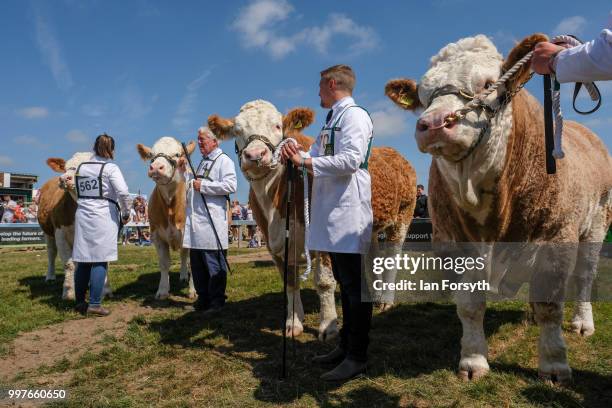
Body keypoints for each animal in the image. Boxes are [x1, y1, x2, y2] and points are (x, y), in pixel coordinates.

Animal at [41, 153, 112, 300]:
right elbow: (69, 264)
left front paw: (105, 290)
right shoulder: (60, 235)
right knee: (51, 253)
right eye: (65, 167)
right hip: (48, 232)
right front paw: (69, 292)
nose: (64, 178)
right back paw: (50, 276)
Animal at [138, 137, 196, 300]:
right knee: (183, 256)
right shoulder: (156, 236)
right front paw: (163, 290)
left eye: (177, 154)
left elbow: (193, 264)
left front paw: (193, 290)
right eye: (152, 155)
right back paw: (183, 276)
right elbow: (164, 263)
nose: (156, 167)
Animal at [209, 100, 416, 340]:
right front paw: (293, 323)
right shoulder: (274, 244)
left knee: (392, 257)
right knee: (372, 259)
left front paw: (329, 326)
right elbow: (290, 284)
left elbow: (324, 282)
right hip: (371, 227)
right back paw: (372, 297)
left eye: (278, 126)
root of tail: (395, 153)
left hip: (403, 217)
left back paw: (385, 301)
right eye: (237, 130)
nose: (255, 155)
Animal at [388, 35, 612, 382]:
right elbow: (469, 305)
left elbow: (551, 305)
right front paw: (473, 361)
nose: (434, 124)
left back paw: (582, 323)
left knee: (585, 276)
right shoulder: (454, 242)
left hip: (597, 223)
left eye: (488, 84)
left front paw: (554, 364)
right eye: (424, 97)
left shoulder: (556, 239)